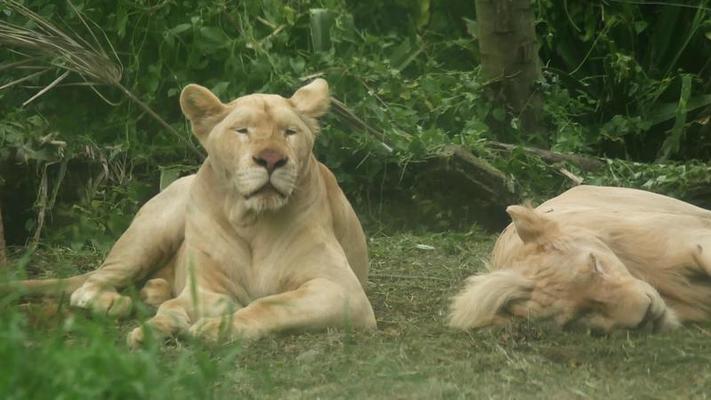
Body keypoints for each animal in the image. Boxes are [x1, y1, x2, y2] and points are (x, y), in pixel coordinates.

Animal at [12, 78, 378, 346]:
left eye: (290, 132)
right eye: (242, 130)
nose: (272, 159)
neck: (253, 221)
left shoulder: (342, 289)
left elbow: (271, 304)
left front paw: (216, 328)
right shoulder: (206, 286)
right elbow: (202, 301)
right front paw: (169, 324)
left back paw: (153, 292)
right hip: (150, 233)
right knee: (88, 285)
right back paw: (119, 303)